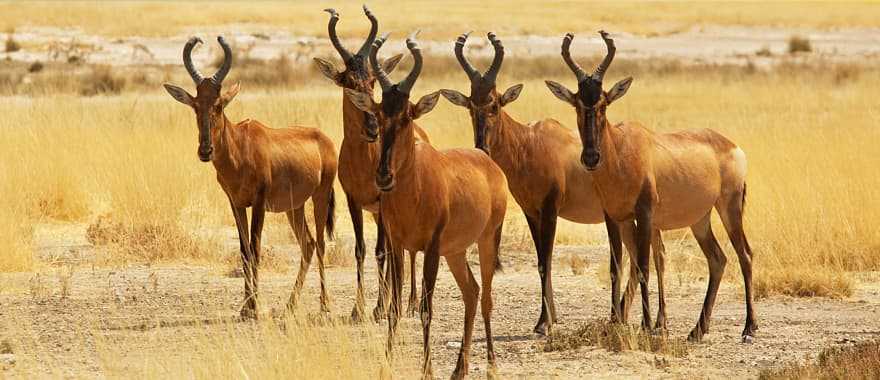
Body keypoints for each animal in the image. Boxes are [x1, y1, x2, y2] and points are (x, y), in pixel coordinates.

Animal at [163, 37, 338, 320]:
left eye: (219, 105)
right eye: (195, 105)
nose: (205, 150)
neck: (240, 145)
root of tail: (324, 138)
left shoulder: (258, 203)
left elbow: (255, 249)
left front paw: (255, 307)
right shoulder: (235, 204)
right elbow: (244, 250)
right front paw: (246, 307)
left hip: (320, 196)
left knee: (321, 243)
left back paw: (325, 305)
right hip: (295, 207)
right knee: (308, 244)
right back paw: (290, 305)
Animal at [312, 5, 430, 320]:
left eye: (372, 82)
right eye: (348, 83)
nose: (373, 128)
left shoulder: (381, 201)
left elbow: (382, 251)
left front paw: (379, 308)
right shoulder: (353, 200)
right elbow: (362, 249)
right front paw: (358, 309)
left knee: (399, 249)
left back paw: (408, 303)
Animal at [346, 31, 506, 378]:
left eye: (408, 116)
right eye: (379, 113)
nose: (383, 176)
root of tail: (488, 162)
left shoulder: (431, 248)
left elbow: (425, 309)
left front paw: (427, 370)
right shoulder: (396, 245)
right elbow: (394, 307)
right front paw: (387, 365)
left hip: (486, 240)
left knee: (487, 296)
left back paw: (491, 366)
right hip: (455, 251)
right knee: (472, 292)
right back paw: (459, 369)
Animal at [444, 31, 664, 336]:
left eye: (495, 104)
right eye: (470, 105)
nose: (482, 149)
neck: (530, 142)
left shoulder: (550, 210)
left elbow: (545, 262)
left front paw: (544, 322)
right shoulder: (531, 212)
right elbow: (541, 262)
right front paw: (549, 319)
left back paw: (646, 320)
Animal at [544, 31, 756, 342]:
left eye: (604, 103)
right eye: (577, 104)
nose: (591, 157)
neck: (622, 151)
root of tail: (733, 146)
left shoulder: (644, 214)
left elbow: (643, 265)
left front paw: (645, 325)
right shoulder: (613, 217)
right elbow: (616, 268)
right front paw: (617, 322)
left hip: (730, 208)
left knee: (745, 255)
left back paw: (749, 328)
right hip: (700, 219)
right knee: (718, 259)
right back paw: (697, 330)